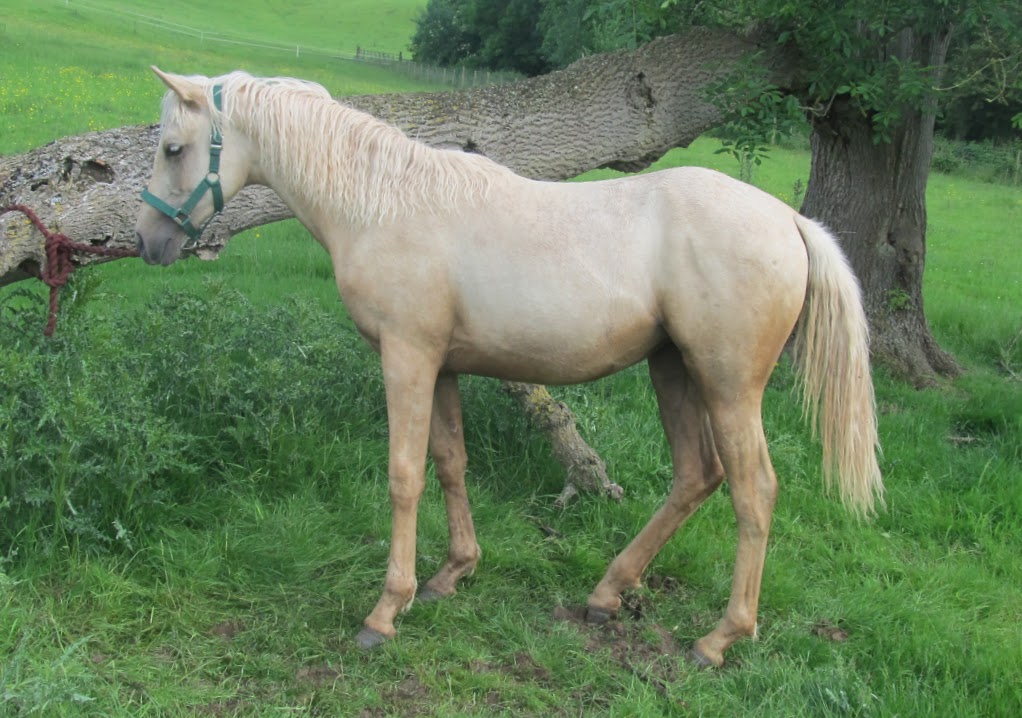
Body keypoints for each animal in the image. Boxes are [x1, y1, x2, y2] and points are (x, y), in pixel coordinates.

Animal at [135, 68, 883, 669]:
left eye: (174, 148)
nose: (149, 242)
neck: (383, 202)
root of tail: (788, 221)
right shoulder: (441, 367)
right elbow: (449, 462)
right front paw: (453, 574)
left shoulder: (406, 357)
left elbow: (404, 476)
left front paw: (387, 610)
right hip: (673, 370)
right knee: (697, 476)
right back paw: (607, 594)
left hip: (727, 386)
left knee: (754, 492)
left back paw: (719, 639)